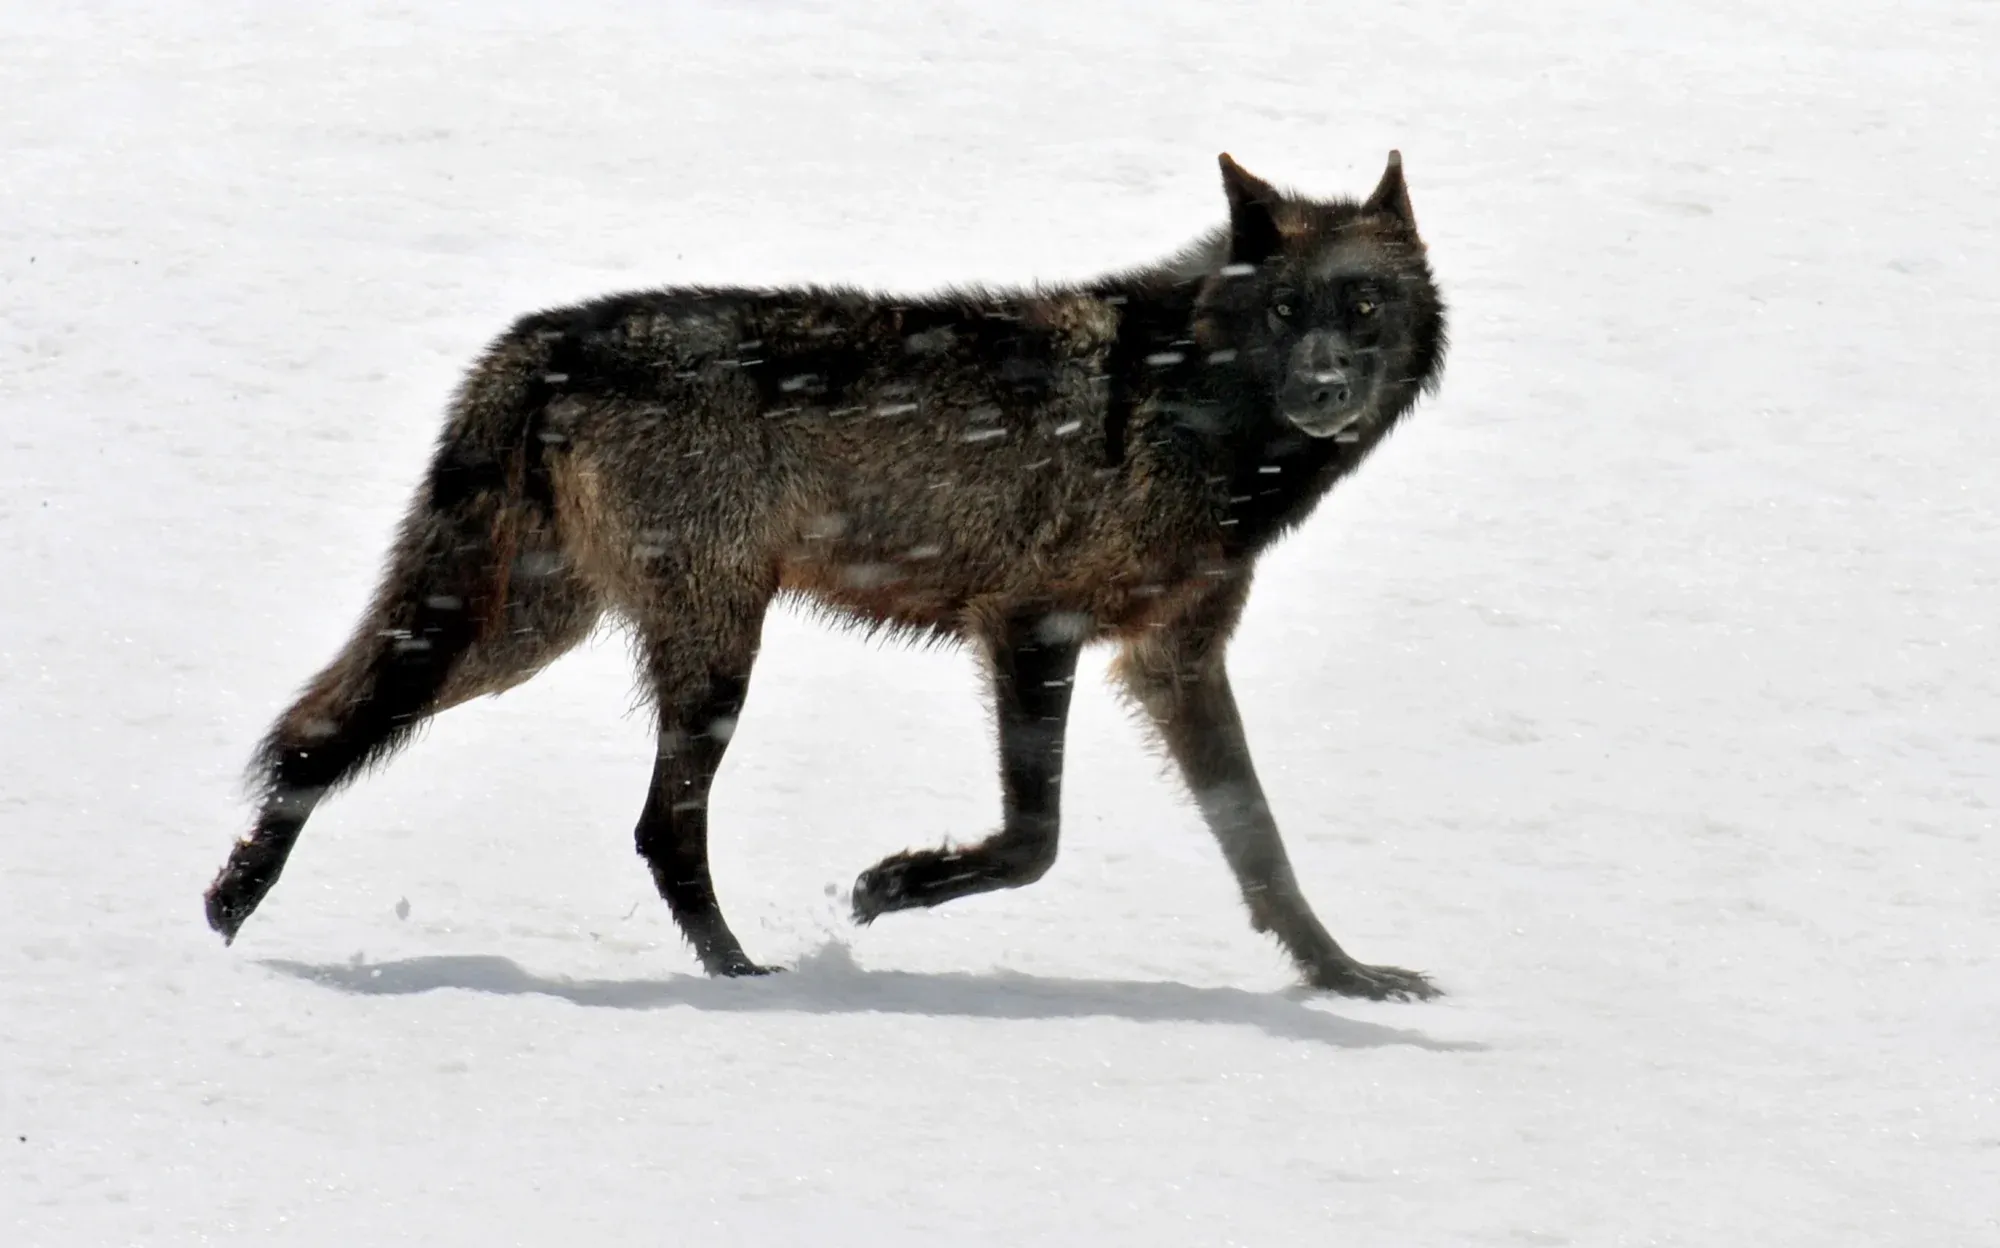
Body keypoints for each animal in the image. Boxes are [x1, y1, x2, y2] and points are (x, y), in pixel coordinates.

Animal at [204, 152, 1448, 1000]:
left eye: (1362, 304)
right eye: (1284, 307)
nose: (1325, 385)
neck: (1199, 409)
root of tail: (550, 335)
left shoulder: (1172, 658)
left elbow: (1260, 844)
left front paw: (1345, 978)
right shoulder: (1029, 624)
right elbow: (1033, 841)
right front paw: (890, 886)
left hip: (520, 635)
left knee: (318, 734)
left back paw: (230, 906)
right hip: (701, 651)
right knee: (658, 829)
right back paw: (743, 979)